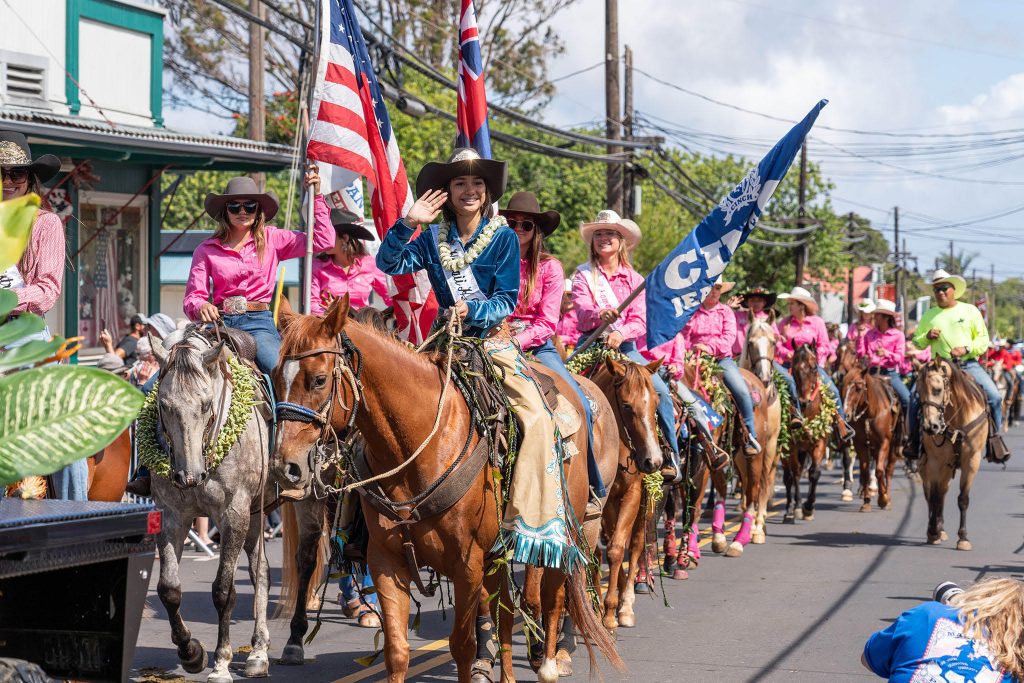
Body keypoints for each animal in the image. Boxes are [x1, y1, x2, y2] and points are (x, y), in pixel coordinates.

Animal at [149, 327, 274, 679]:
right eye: (164, 405)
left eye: (206, 404)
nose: (188, 476)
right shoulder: (172, 515)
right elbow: (169, 589)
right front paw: (191, 651)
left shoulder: (233, 514)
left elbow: (223, 591)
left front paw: (221, 662)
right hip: (255, 513)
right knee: (261, 568)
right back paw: (258, 651)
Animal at [274, 301, 622, 683]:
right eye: (275, 376)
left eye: (319, 379)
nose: (286, 466)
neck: (421, 444)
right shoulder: (385, 561)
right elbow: (397, 649)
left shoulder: (467, 564)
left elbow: (463, 645)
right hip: (498, 554)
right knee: (506, 613)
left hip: (565, 529)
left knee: (551, 593)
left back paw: (549, 661)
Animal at [839, 362, 905, 511]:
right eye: (843, 387)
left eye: (858, 388)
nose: (846, 414)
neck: (871, 413)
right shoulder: (860, 444)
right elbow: (865, 471)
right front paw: (867, 501)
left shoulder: (884, 442)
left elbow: (880, 471)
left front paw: (883, 499)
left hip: (893, 447)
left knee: (888, 470)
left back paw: (887, 497)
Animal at [917, 358, 987, 548]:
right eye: (918, 392)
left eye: (937, 389)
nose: (930, 427)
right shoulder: (935, 461)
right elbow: (933, 497)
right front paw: (933, 532)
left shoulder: (972, 461)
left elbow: (963, 498)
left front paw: (963, 538)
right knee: (933, 494)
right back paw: (936, 529)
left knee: (943, 492)